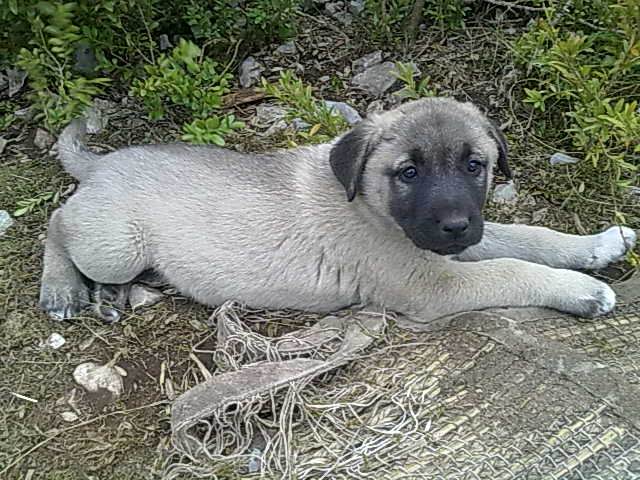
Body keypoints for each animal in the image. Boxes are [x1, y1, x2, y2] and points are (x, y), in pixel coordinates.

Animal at [39, 97, 637, 323]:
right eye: (408, 172)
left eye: (475, 166)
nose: (455, 226)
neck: (372, 207)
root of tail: (101, 163)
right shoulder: (430, 284)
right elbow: (512, 269)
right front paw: (581, 290)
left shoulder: (462, 240)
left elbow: (528, 236)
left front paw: (599, 245)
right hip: (116, 244)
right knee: (57, 224)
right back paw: (63, 289)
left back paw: (108, 297)